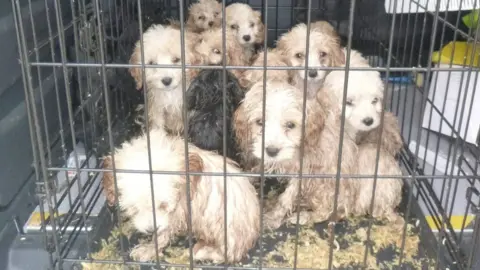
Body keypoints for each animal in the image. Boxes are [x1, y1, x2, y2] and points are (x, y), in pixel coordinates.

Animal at [101, 129, 258, 264]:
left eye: (163, 205)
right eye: (134, 209)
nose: (151, 229)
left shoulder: (176, 213)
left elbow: (162, 235)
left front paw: (149, 250)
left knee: (229, 254)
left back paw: (201, 252)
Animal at [232, 80, 360, 228]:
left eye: (290, 125)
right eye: (260, 122)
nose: (272, 151)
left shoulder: (303, 172)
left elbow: (286, 198)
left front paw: (273, 218)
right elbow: (258, 168)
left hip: (324, 186)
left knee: (325, 211)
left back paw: (304, 216)